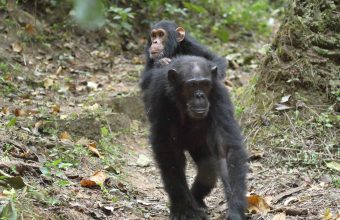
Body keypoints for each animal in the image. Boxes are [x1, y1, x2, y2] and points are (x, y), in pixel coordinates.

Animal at [141, 55, 247, 220]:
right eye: (191, 85)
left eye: (205, 84)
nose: (199, 95)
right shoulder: (160, 96)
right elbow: (167, 148)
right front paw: (183, 209)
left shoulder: (219, 95)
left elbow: (225, 149)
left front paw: (235, 210)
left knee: (208, 167)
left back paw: (197, 199)